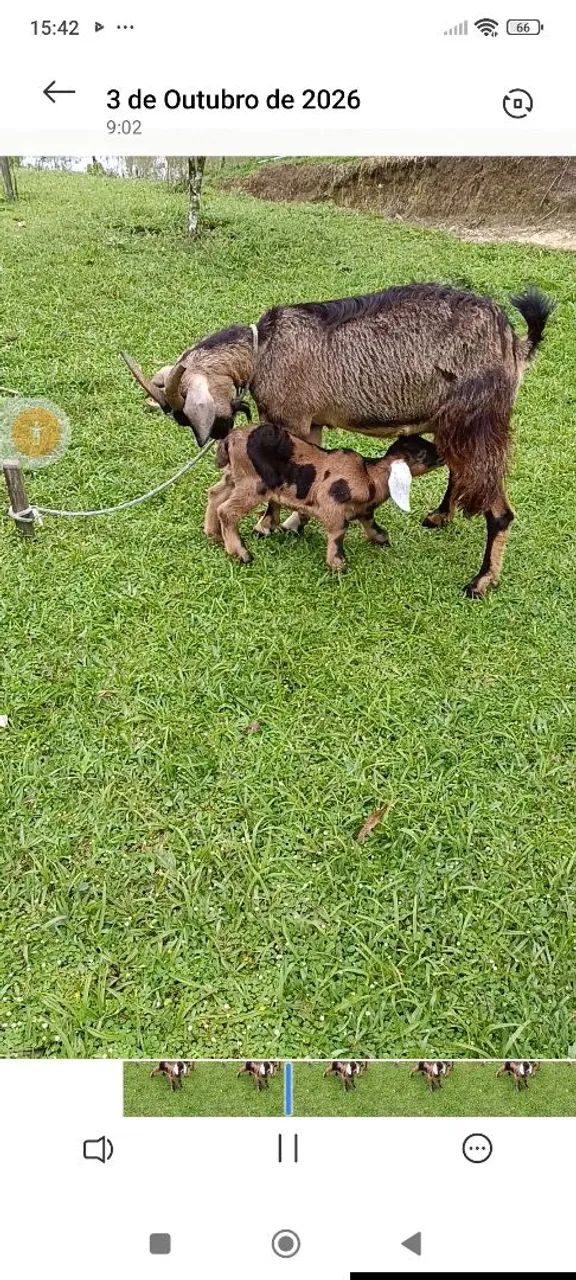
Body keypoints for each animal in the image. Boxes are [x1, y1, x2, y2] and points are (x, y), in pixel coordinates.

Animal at [205, 426, 441, 571]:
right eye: (422, 455)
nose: (441, 453)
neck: (368, 475)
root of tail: (230, 439)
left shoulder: (365, 511)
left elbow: (373, 526)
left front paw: (382, 540)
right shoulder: (332, 505)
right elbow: (338, 533)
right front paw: (338, 566)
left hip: (233, 476)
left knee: (215, 495)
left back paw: (214, 535)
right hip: (253, 483)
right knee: (227, 511)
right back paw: (241, 554)